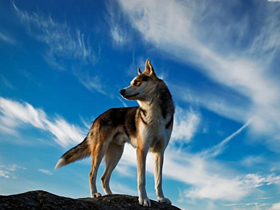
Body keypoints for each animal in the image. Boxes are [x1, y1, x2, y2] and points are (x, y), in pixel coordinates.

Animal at [55, 59, 175, 207]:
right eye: (131, 82)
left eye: (136, 82)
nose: (121, 90)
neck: (154, 111)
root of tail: (99, 117)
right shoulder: (142, 150)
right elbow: (141, 179)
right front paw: (143, 199)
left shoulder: (159, 152)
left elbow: (159, 180)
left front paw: (161, 198)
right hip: (100, 150)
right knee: (92, 174)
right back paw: (95, 194)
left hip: (116, 153)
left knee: (104, 177)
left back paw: (110, 195)